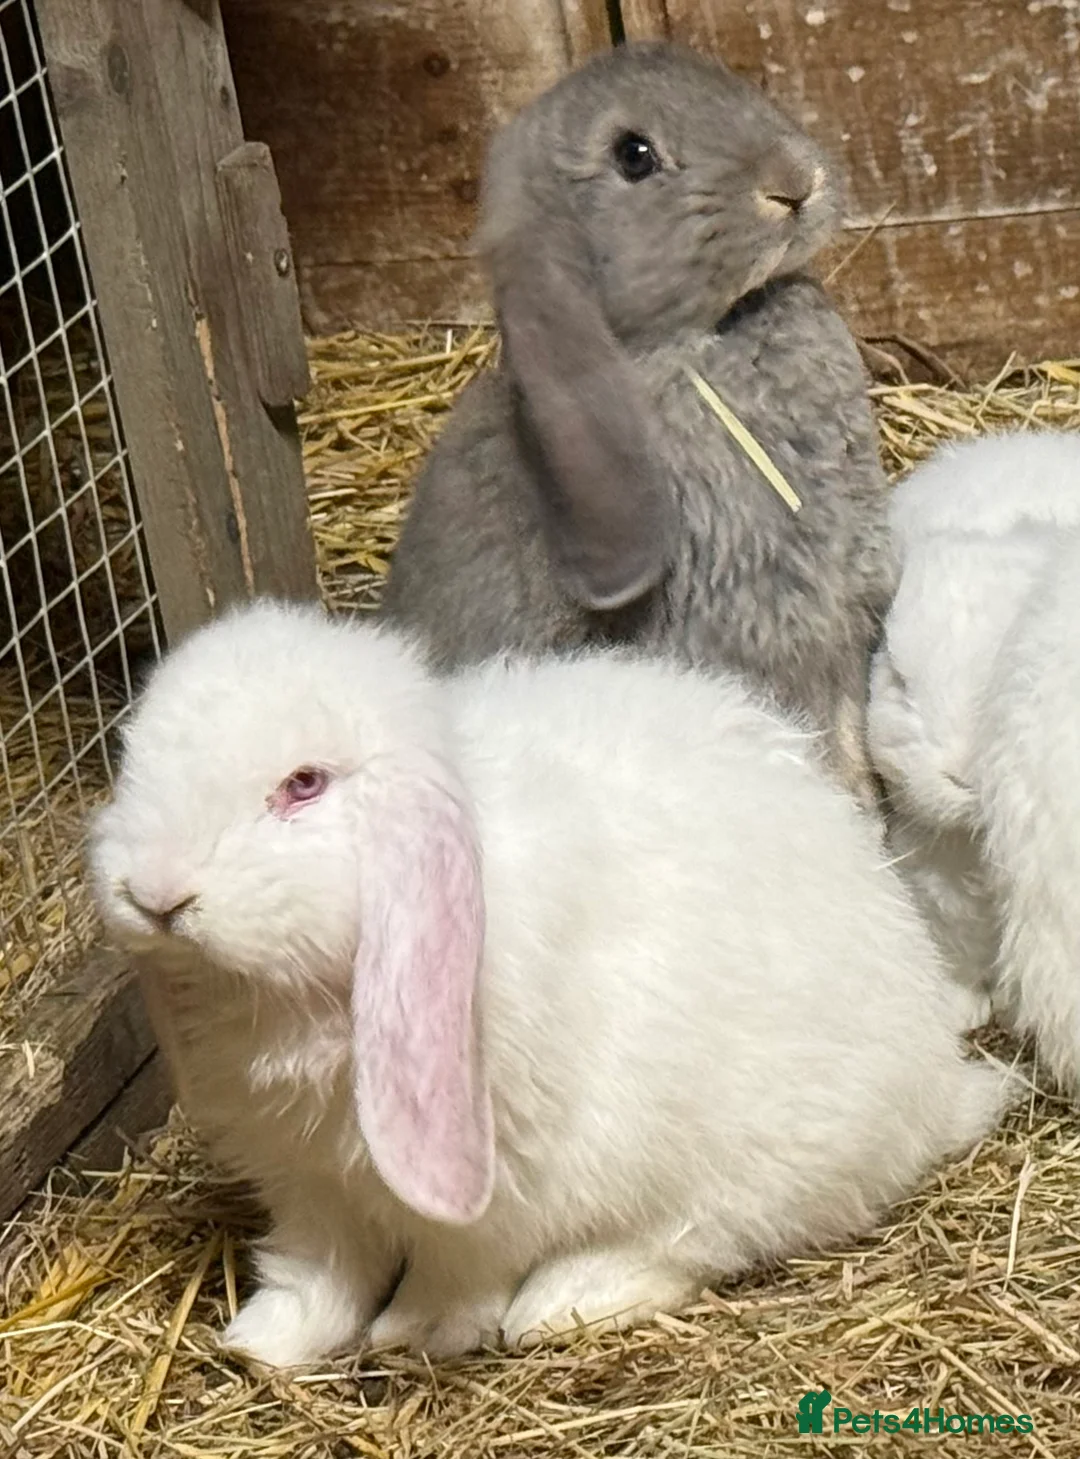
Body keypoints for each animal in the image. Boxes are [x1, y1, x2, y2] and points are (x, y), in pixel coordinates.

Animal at [88, 598, 1005, 1368]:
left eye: (303, 784)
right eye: (131, 754)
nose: (155, 893)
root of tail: (936, 1091)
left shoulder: (503, 1185)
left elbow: (459, 1270)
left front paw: (413, 1334)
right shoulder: (307, 1180)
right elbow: (319, 1270)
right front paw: (264, 1344)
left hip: (742, 1162)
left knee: (692, 1242)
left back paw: (564, 1300)